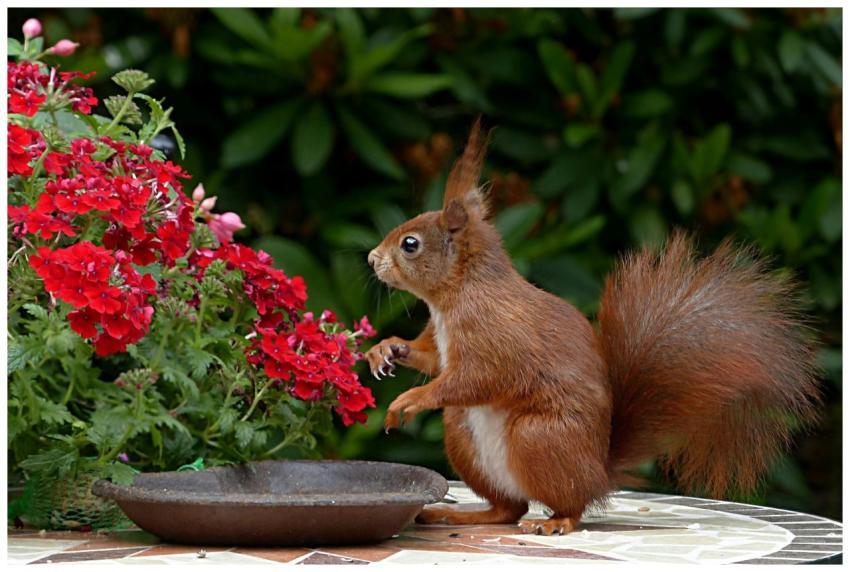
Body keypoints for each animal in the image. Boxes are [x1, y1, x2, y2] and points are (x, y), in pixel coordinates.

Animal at [365, 120, 821, 535]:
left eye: (410, 244)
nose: (371, 259)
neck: (456, 295)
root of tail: (599, 472)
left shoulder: (496, 334)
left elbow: (478, 377)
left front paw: (411, 399)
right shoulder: (442, 340)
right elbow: (431, 358)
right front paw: (386, 349)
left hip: (538, 437)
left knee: (569, 504)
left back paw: (554, 521)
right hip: (463, 435)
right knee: (508, 508)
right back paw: (459, 514)